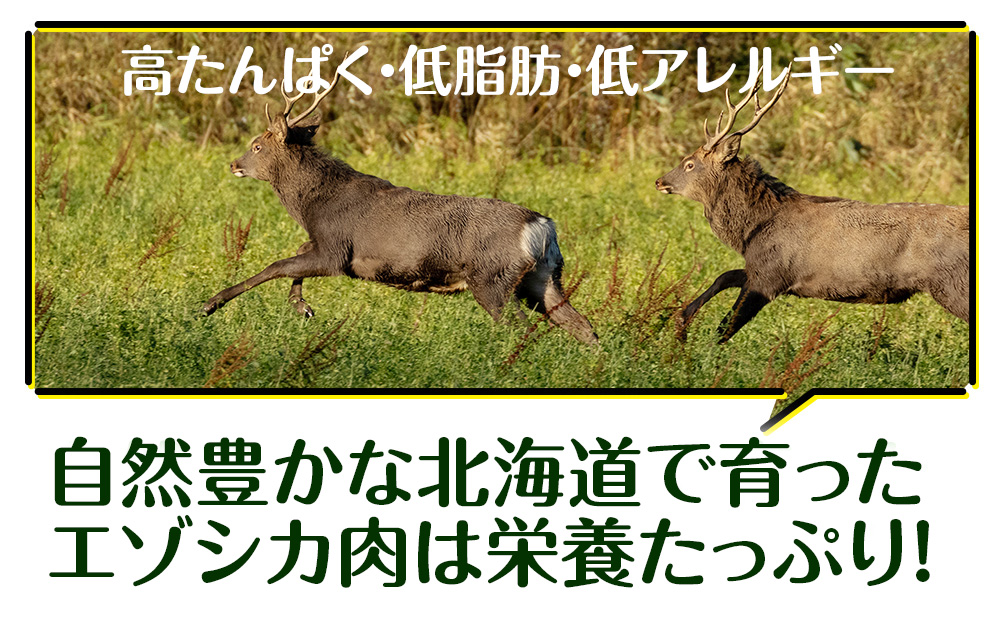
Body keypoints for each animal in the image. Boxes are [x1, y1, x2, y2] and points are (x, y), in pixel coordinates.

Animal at [203, 61, 598, 346]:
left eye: (256, 145)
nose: (234, 164)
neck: (313, 205)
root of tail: (541, 226)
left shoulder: (336, 251)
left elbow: (277, 265)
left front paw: (211, 304)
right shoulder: (325, 245)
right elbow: (293, 255)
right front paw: (302, 307)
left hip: (492, 278)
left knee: (523, 328)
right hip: (542, 276)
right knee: (583, 326)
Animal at [655, 67, 969, 343]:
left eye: (689, 164)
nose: (659, 181)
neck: (750, 231)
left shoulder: (770, 276)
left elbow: (724, 328)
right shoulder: (763, 269)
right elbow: (724, 277)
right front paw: (680, 325)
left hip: (953, 283)